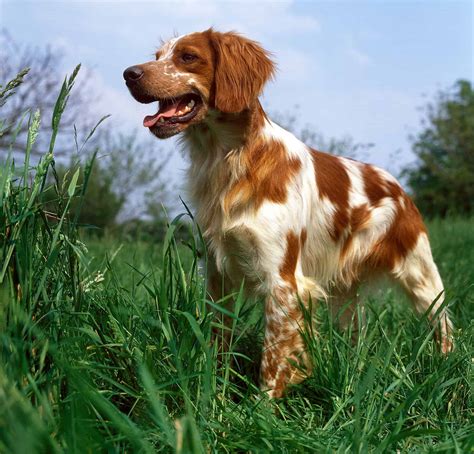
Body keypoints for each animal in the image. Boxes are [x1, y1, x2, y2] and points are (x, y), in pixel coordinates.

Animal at [124, 28, 454, 398]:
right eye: (156, 57)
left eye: (188, 57)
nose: (129, 74)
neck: (230, 162)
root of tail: (398, 186)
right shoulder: (218, 275)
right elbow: (218, 340)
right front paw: (213, 392)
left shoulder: (282, 280)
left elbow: (273, 359)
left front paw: (260, 408)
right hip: (346, 296)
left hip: (421, 276)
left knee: (443, 323)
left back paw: (446, 369)